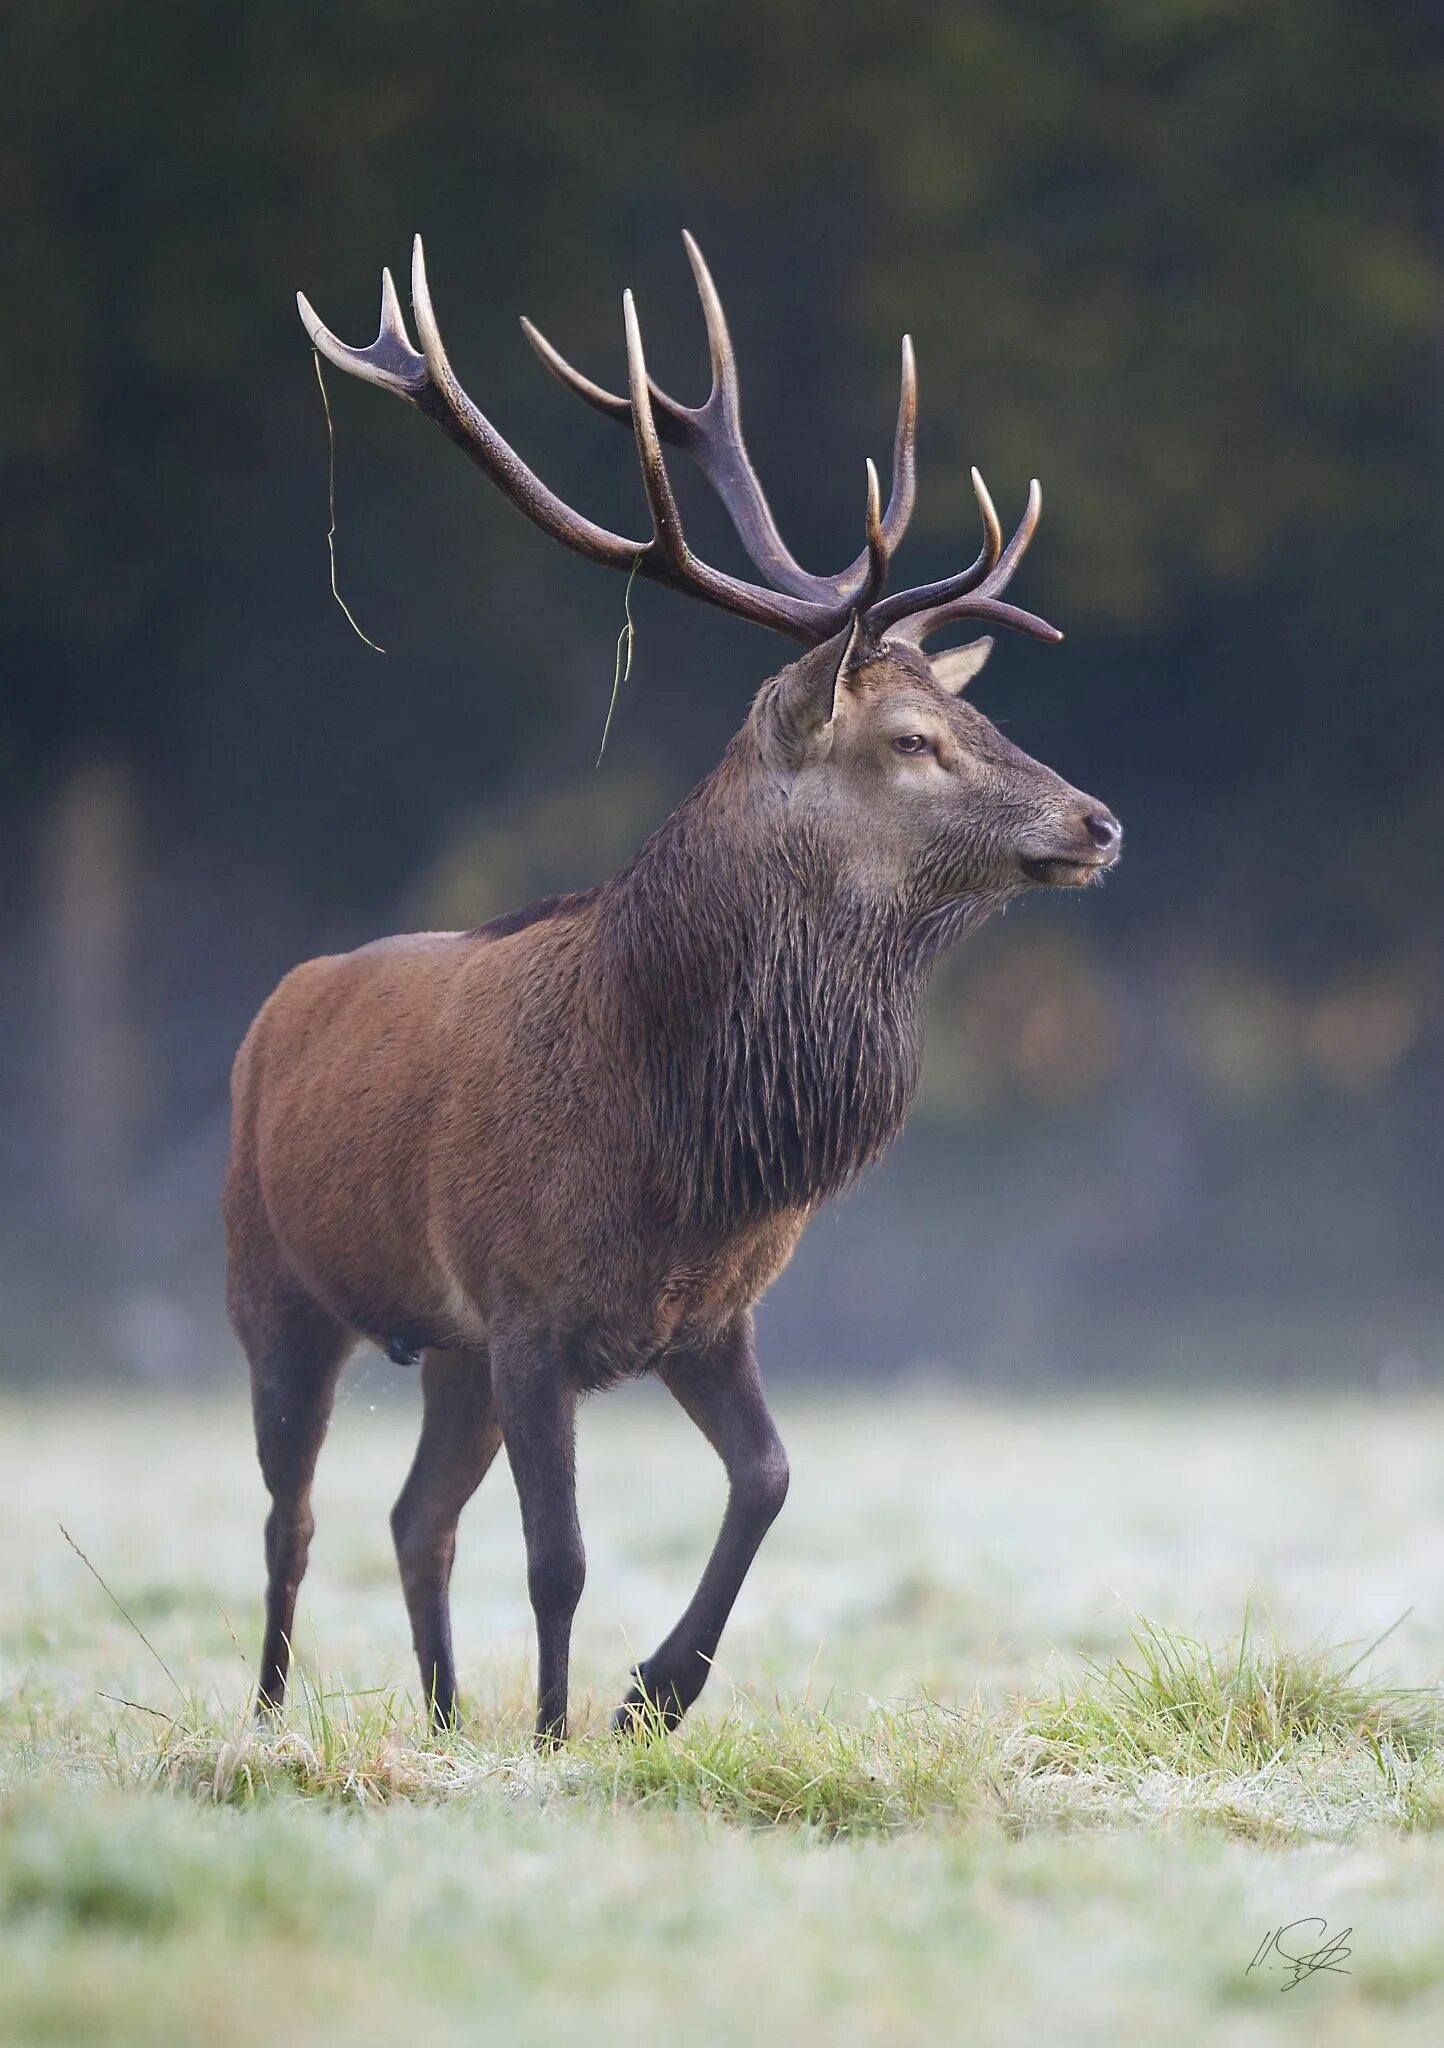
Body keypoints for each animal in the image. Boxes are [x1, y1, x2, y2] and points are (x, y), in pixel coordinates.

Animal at [225, 235, 1122, 1744]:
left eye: (975, 711)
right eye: (912, 737)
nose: (1099, 821)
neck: (681, 1144)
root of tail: (273, 1009)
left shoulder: (702, 1316)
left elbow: (770, 1478)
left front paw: (654, 1690)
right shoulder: (530, 1311)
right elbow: (561, 1556)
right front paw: (557, 1732)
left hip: (446, 1348)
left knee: (413, 1518)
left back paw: (443, 1717)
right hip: (274, 1283)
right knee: (293, 1516)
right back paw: (275, 1716)